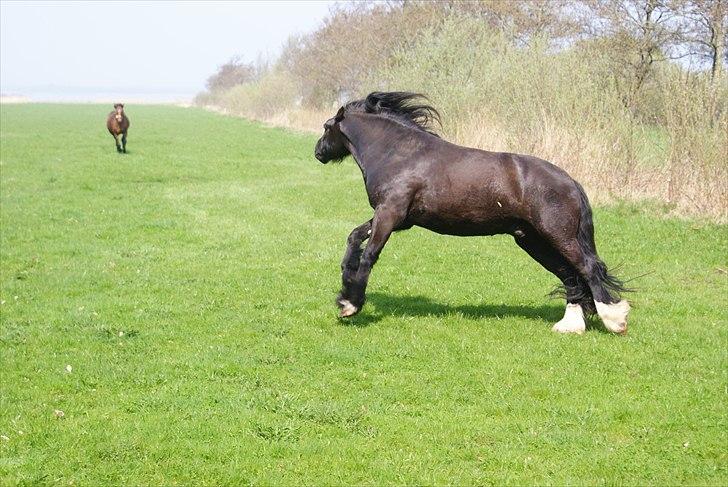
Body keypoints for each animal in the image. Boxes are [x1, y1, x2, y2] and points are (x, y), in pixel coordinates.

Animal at [314, 92, 632, 336]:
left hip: (558, 236)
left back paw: (614, 321)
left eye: (327, 127)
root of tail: (570, 181)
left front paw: (351, 304)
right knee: (569, 276)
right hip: (532, 240)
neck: (399, 154)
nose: (318, 152)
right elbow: (354, 237)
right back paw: (570, 326)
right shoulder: (398, 219)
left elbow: (369, 254)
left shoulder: (390, 215)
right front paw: (345, 288)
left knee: (588, 269)